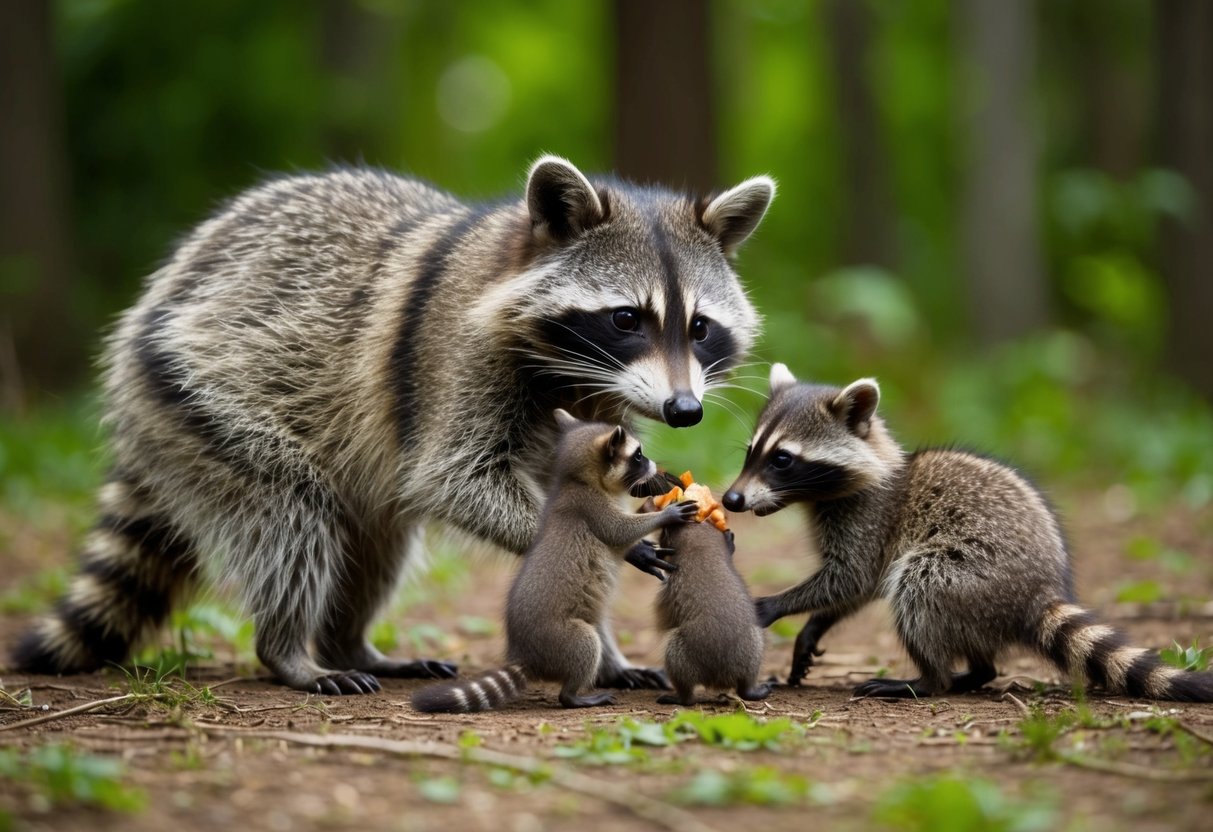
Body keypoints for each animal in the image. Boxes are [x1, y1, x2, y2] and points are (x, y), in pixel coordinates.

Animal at [411, 411, 697, 712]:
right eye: (639, 455)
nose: (656, 466)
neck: (580, 479)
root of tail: (527, 657)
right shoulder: (592, 508)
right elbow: (619, 531)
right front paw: (663, 516)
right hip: (564, 636)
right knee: (585, 646)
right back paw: (573, 695)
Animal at [652, 519, 769, 706]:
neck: (702, 549)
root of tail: (720, 676)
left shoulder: (669, 585)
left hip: (676, 653)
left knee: (687, 698)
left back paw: (675, 698)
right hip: (755, 642)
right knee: (745, 688)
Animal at [722, 363, 1213, 701]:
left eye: (782, 459)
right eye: (750, 452)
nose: (731, 499)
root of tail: (1039, 591)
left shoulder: (870, 520)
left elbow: (851, 578)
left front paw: (776, 604)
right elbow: (857, 590)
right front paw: (815, 626)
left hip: (972, 570)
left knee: (919, 587)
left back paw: (929, 679)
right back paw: (974, 672)